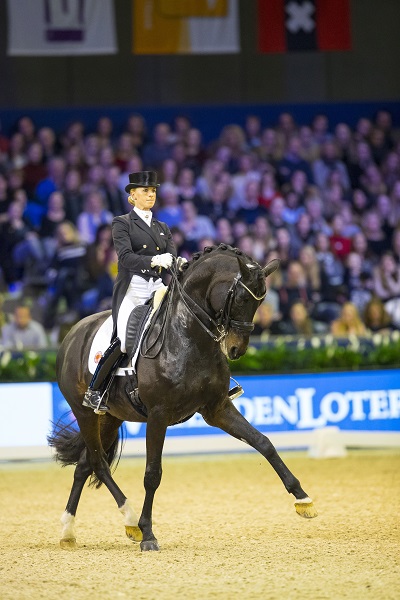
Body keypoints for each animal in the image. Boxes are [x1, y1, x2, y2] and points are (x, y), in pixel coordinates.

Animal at [48, 244, 318, 552]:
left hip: (110, 417)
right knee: (97, 462)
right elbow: (152, 473)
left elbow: (264, 443)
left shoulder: (217, 408)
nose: (236, 349)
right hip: (85, 413)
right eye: (239, 298)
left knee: (85, 464)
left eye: (259, 304)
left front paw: (303, 499)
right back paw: (129, 519)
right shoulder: (158, 415)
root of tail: (72, 333)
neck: (188, 336)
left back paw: (69, 531)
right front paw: (148, 534)